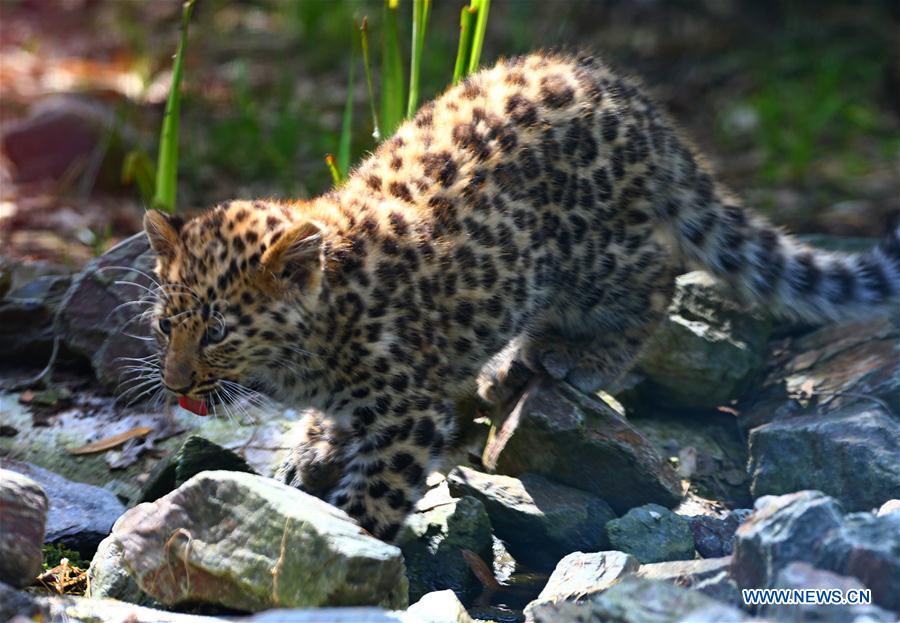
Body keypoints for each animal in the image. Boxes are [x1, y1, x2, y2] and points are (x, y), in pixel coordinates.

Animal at [142, 52, 900, 541]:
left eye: (217, 332)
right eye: (163, 327)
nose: (173, 383)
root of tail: (636, 102)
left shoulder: (407, 413)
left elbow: (376, 492)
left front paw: (347, 541)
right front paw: (310, 446)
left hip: (590, 257)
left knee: (657, 278)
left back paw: (574, 358)